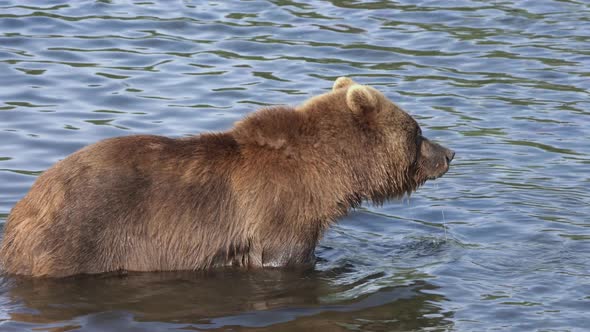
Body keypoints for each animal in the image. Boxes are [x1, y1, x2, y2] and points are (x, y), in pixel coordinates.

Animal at [0, 78, 458, 278]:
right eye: (418, 132)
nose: (449, 153)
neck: (331, 174)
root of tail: (27, 203)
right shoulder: (281, 211)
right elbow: (284, 256)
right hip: (80, 236)